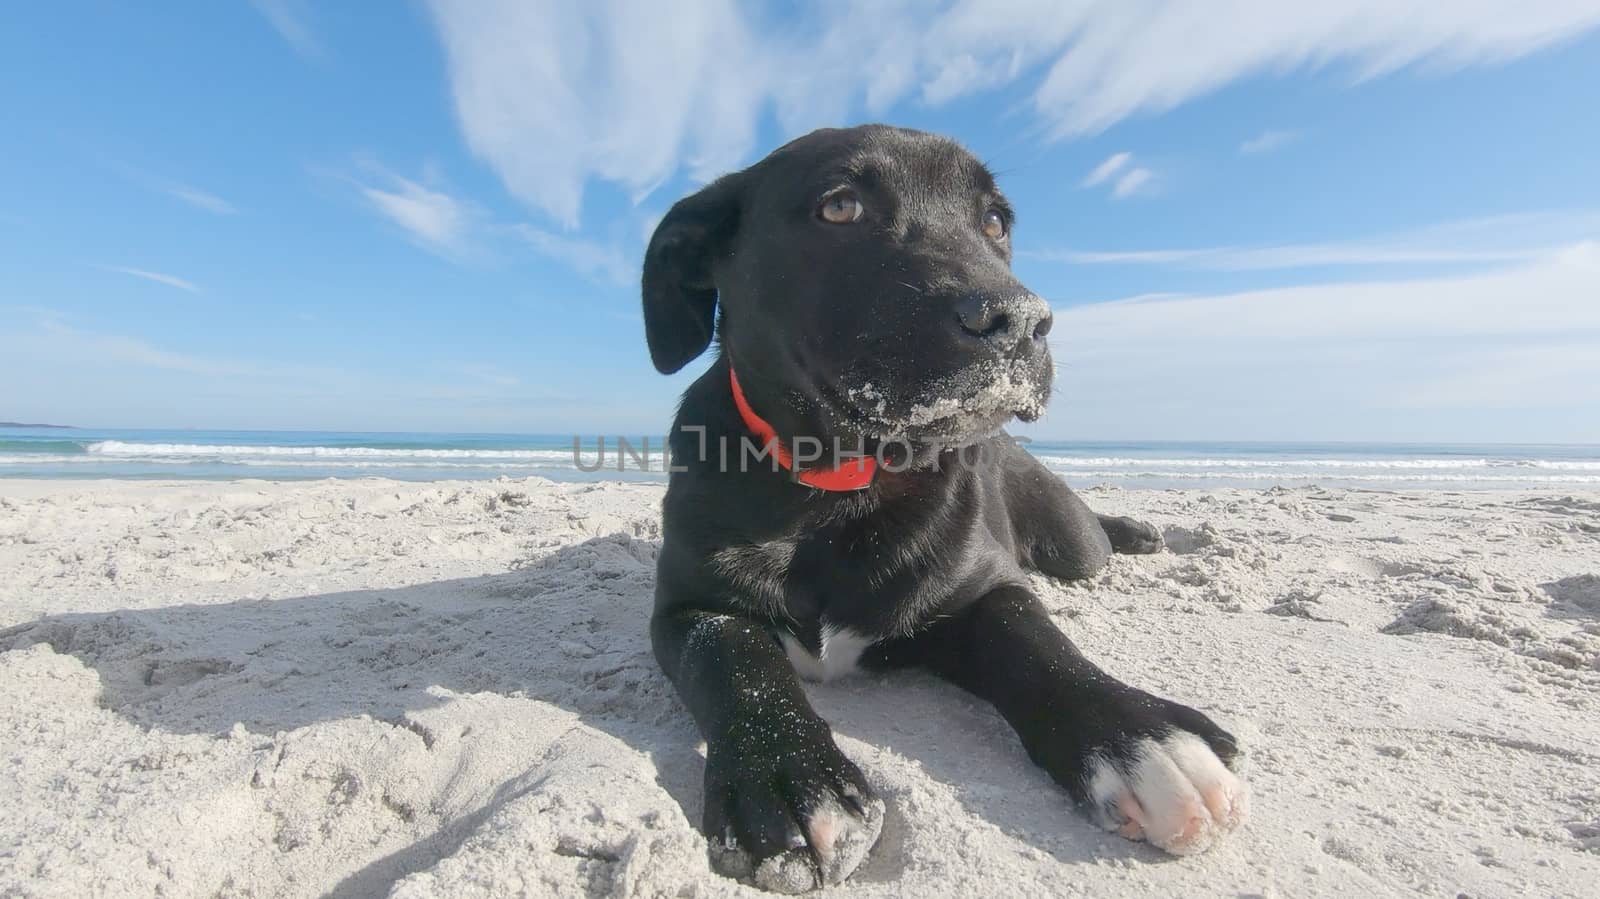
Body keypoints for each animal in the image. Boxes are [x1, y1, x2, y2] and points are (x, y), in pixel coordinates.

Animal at [643, 123, 1241, 889]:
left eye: (995, 222)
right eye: (840, 206)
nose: (1021, 321)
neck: (839, 488)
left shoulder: (984, 587)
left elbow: (1037, 641)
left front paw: (1142, 737)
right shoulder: (688, 608)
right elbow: (735, 659)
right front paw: (790, 777)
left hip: (1074, 544)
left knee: (1092, 541)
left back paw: (1137, 529)